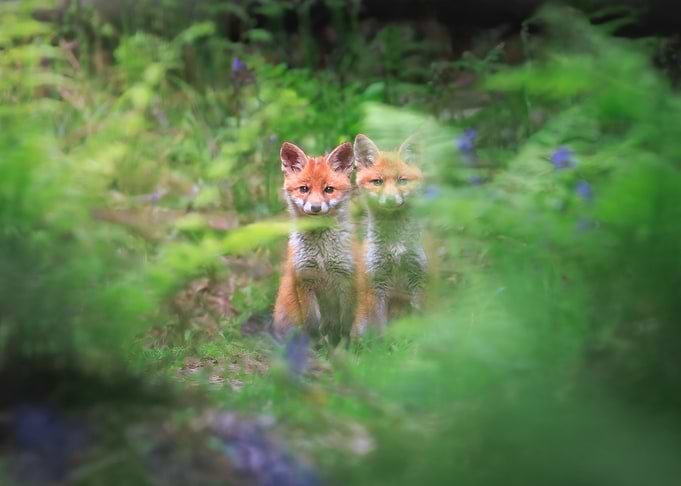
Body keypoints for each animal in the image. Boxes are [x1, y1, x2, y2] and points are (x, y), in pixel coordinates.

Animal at [273, 140, 356, 346]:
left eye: (329, 189)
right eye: (304, 189)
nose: (316, 207)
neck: (321, 256)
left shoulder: (345, 278)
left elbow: (345, 323)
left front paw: (344, 347)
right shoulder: (304, 279)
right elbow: (312, 322)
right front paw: (316, 346)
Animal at [352, 134, 427, 338]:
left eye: (402, 181)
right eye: (377, 181)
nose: (391, 199)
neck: (395, 246)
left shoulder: (417, 274)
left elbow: (419, 317)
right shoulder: (377, 281)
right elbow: (381, 327)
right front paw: (383, 344)